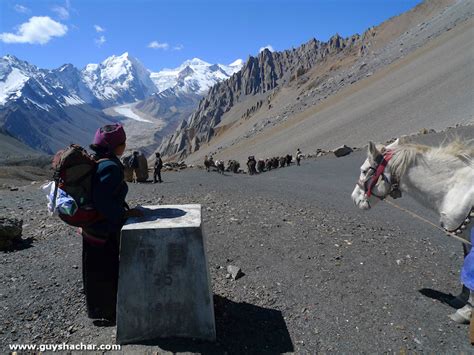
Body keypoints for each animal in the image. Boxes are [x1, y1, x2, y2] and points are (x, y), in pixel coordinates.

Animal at [350, 139, 474, 326]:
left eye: (364, 171)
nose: (354, 198)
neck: (456, 188)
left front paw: (466, 311)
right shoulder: (465, 237)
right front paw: (462, 299)